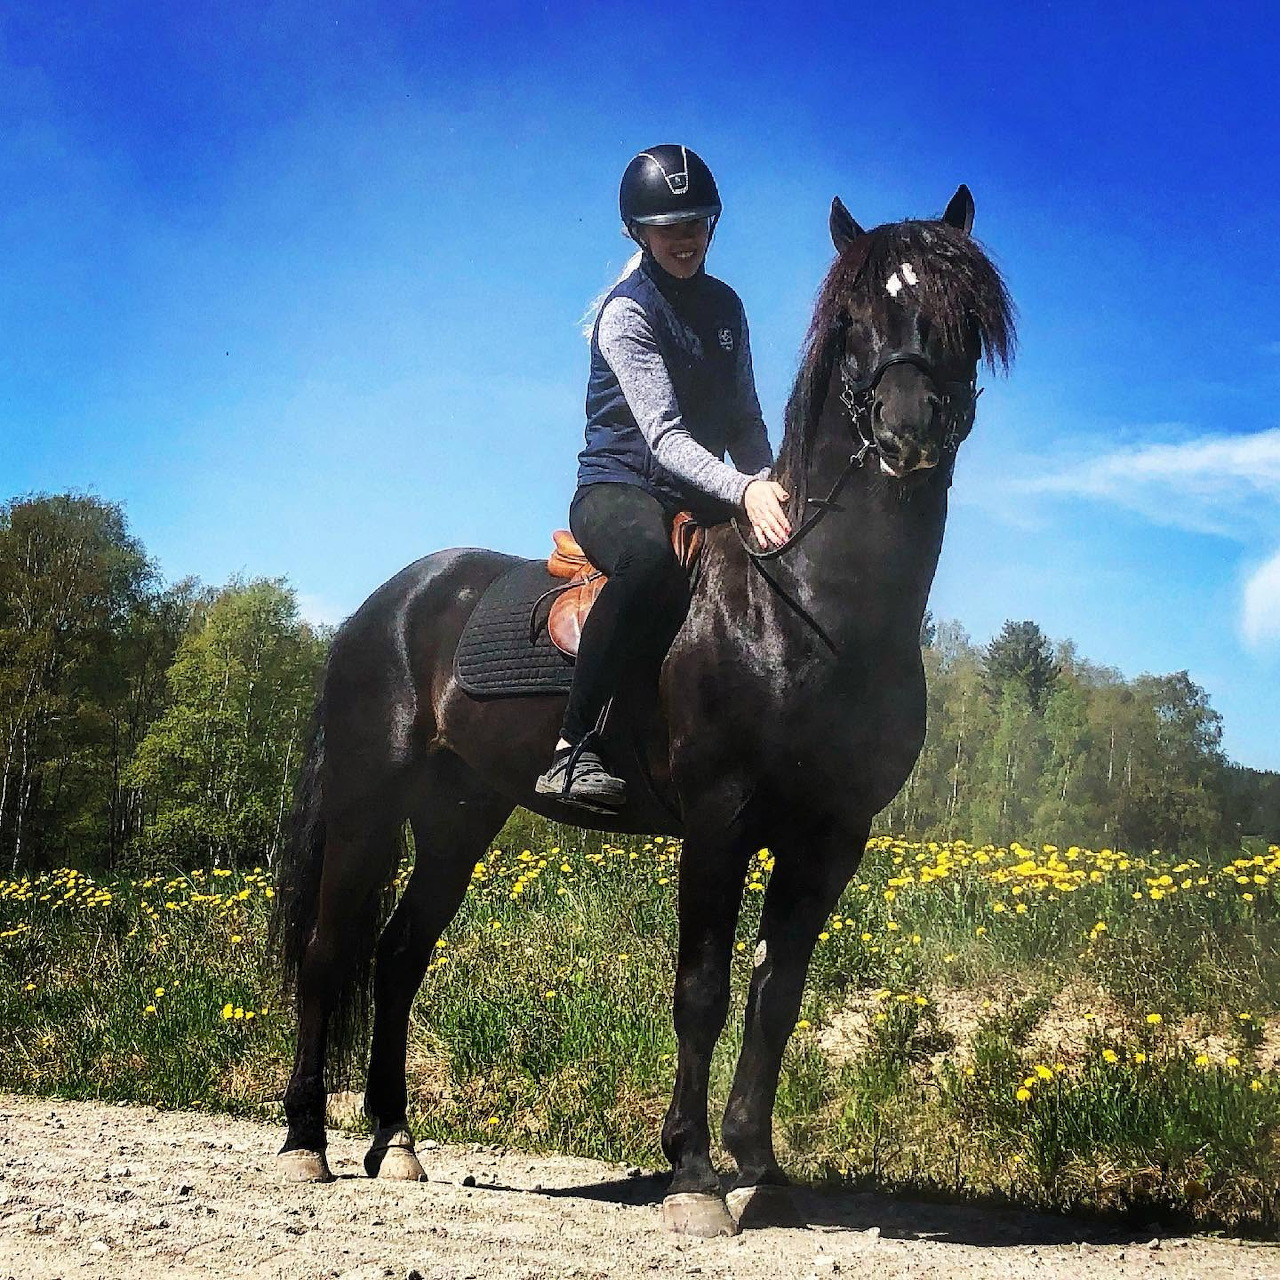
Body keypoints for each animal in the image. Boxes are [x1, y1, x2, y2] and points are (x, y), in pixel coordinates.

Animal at [270, 185, 1015, 1237]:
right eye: (854, 316)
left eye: (960, 315)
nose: (908, 427)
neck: (811, 602)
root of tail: (383, 606)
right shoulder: (719, 818)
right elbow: (702, 989)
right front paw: (695, 1176)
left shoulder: (831, 836)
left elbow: (777, 994)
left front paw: (759, 1167)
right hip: (369, 806)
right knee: (329, 952)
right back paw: (306, 1142)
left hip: (459, 816)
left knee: (400, 955)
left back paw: (397, 1141)